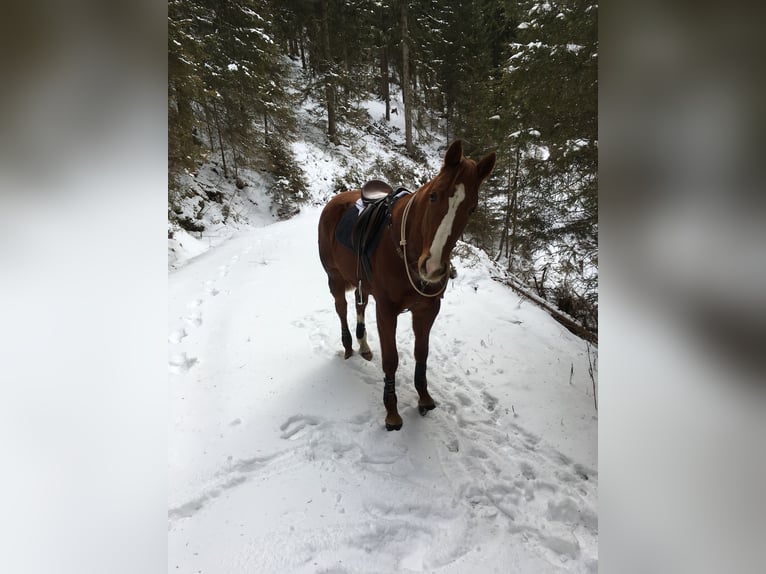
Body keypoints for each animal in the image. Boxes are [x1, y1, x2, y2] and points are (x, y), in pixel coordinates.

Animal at [317, 140, 496, 430]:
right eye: (433, 196)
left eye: (472, 208)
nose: (432, 267)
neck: (407, 250)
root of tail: (335, 200)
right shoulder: (387, 311)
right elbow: (391, 359)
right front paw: (391, 412)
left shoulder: (427, 310)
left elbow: (421, 353)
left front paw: (424, 398)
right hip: (334, 277)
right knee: (341, 308)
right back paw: (348, 347)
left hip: (361, 283)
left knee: (359, 305)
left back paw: (364, 346)